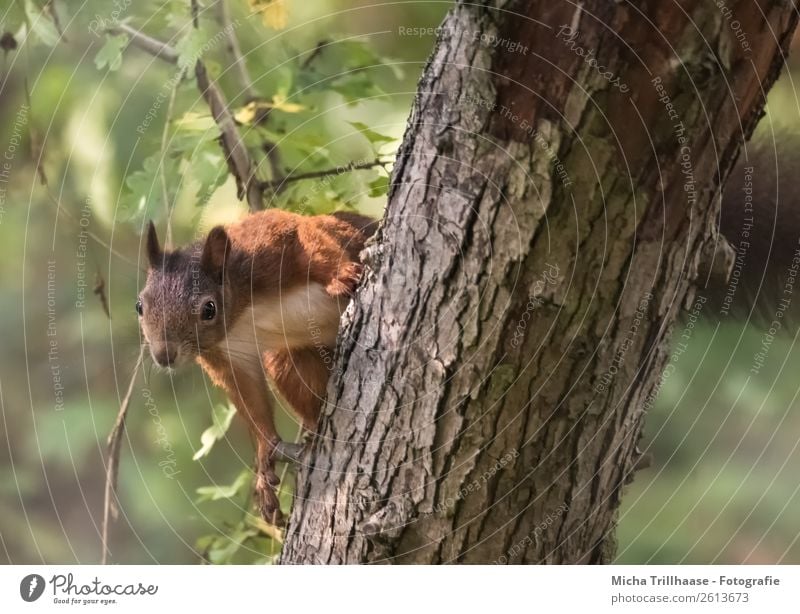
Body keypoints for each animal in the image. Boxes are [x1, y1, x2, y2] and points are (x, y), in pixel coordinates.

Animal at [136, 209, 376, 524]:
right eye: (139, 306)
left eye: (209, 309)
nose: (164, 355)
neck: (240, 311)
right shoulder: (227, 356)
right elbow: (249, 395)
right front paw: (265, 456)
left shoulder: (269, 245)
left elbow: (310, 240)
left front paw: (341, 274)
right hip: (286, 358)